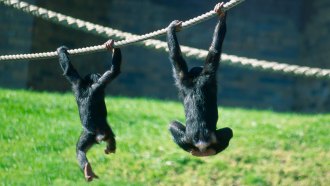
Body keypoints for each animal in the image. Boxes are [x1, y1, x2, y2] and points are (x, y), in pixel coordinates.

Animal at [56, 39, 121, 182]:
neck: (88, 86)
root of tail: (98, 134)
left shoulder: (77, 83)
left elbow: (69, 71)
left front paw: (62, 51)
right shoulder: (99, 84)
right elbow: (114, 71)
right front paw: (111, 46)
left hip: (88, 134)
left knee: (80, 149)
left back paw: (88, 169)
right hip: (101, 130)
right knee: (109, 138)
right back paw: (108, 151)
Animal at [166, 2, 233, 157]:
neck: (196, 79)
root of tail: (201, 142)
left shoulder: (184, 77)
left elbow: (176, 57)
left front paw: (171, 29)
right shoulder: (208, 74)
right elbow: (214, 50)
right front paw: (221, 15)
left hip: (186, 138)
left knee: (172, 125)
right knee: (228, 132)